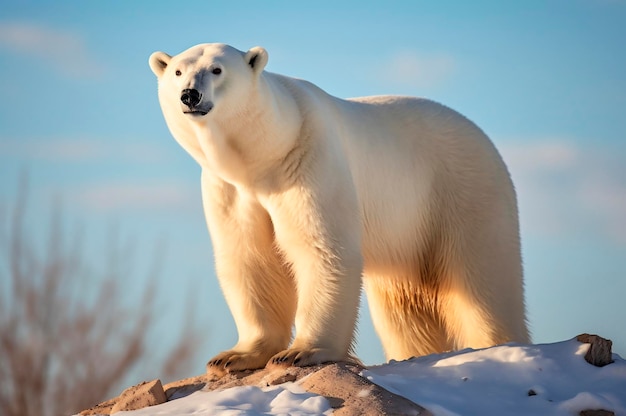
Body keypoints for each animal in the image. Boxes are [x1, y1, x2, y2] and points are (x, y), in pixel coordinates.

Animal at [149, 44, 528, 376]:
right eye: (178, 71)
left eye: (217, 69)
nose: (189, 95)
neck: (266, 153)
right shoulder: (229, 190)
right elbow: (252, 260)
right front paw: (233, 356)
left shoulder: (309, 161)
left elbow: (321, 249)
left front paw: (300, 352)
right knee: (404, 305)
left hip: (462, 191)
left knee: (483, 283)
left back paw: (499, 345)